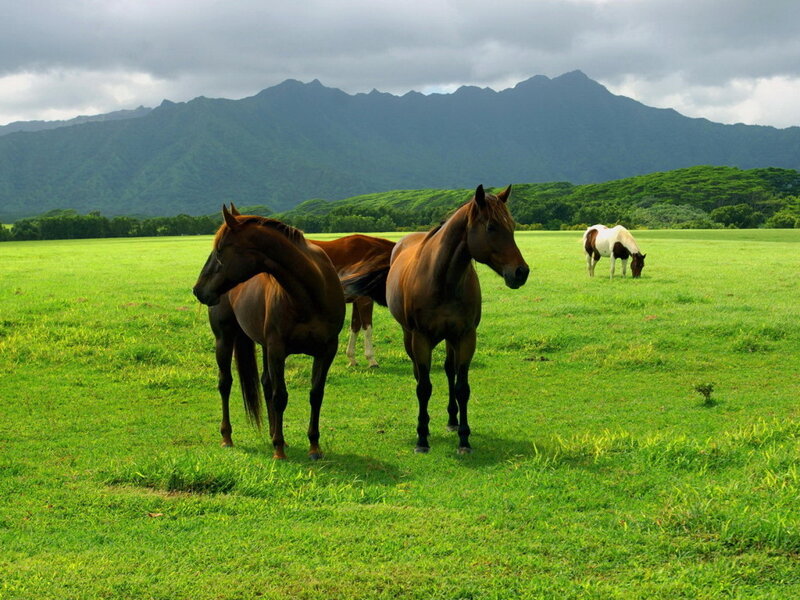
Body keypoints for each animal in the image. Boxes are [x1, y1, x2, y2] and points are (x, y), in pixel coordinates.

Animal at [192, 206, 345, 460]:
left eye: (220, 250)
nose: (198, 290)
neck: (311, 294)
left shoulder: (327, 350)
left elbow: (316, 394)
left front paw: (314, 446)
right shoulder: (277, 349)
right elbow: (280, 396)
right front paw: (279, 450)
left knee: (265, 383)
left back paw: (274, 433)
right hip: (225, 339)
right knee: (225, 383)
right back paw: (228, 437)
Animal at [308, 235, 396, 368]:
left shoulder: (356, 300)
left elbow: (355, 327)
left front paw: (352, 358)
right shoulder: (365, 300)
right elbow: (367, 328)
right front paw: (371, 360)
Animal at [345, 185, 529, 454]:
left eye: (513, 225)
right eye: (491, 227)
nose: (521, 272)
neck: (443, 280)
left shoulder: (465, 337)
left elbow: (462, 387)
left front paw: (464, 438)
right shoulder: (421, 338)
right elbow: (424, 387)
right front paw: (422, 438)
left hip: (450, 339)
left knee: (449, 371)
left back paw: (452, 420)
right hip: (409, 337)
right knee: (419, 374)